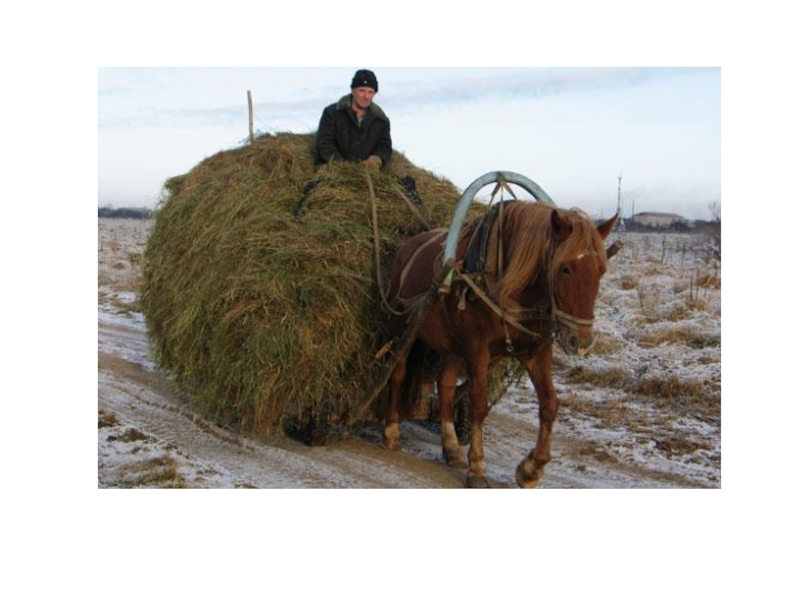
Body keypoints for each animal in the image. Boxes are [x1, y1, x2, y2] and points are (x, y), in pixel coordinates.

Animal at [382, 202, 620, 488]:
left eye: (601, 271)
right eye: (565, 268)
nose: (581, 342)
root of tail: (407, 246)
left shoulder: (536, 351)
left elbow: (550, 404)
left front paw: (532, 468)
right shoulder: (477, 350)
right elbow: (479, 405)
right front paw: (477, 469)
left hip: (455, 345)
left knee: (446, 384)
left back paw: (451, 448)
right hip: (402, 327)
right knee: (397, 373)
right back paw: (391, 432)